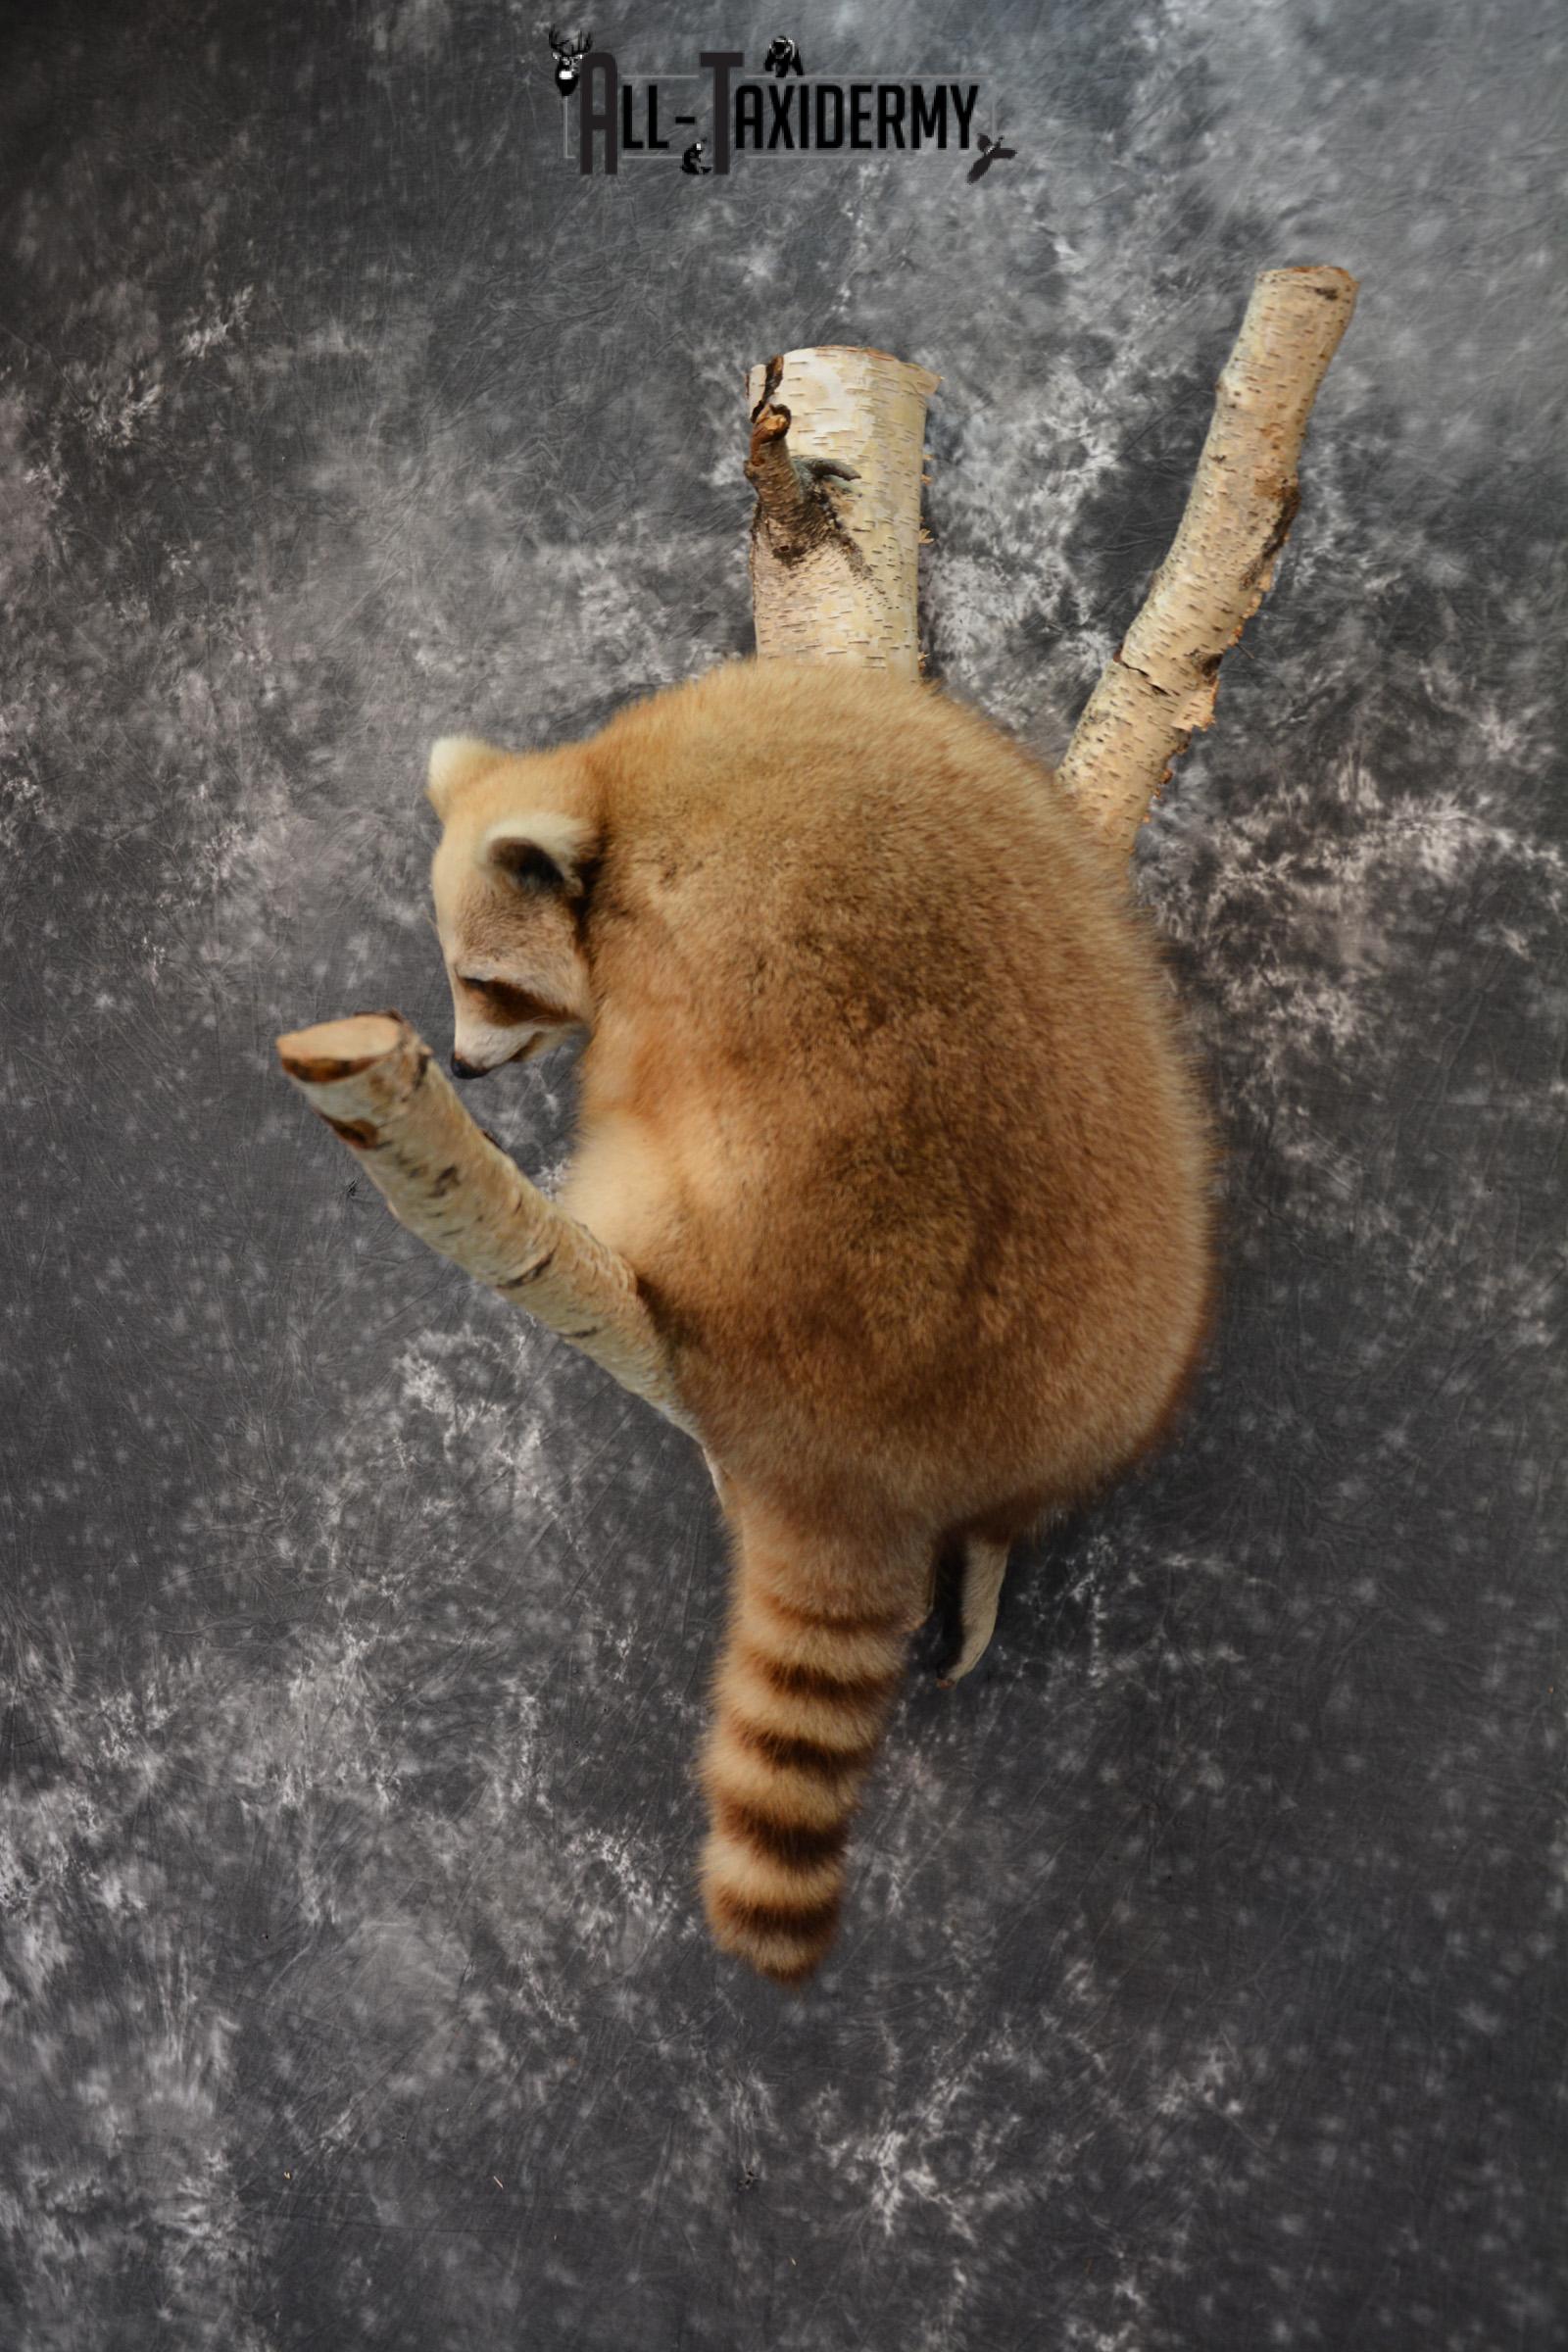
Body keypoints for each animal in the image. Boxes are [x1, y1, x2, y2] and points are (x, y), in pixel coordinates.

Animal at [426, 658, 1218, 1985]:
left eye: (484, 980)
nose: (465, 1070)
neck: (608, 789)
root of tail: (876, 1458)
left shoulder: (670, 948)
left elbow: (634, 1071)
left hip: (770, 1255)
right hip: (1135, 1313)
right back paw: (1001, 1530)